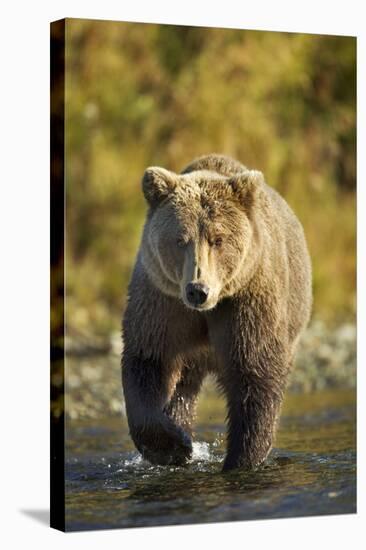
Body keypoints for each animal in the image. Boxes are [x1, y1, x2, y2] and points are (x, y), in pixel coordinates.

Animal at [121, 155, 310, 474]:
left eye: (218, 239)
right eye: (180, 239)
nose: (198, 290)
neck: (208, 310)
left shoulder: (246, 302)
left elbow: (255, 373)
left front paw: (241, 460)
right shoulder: (163, 302)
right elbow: (149, 361)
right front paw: (174, 447)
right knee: (183, 388)